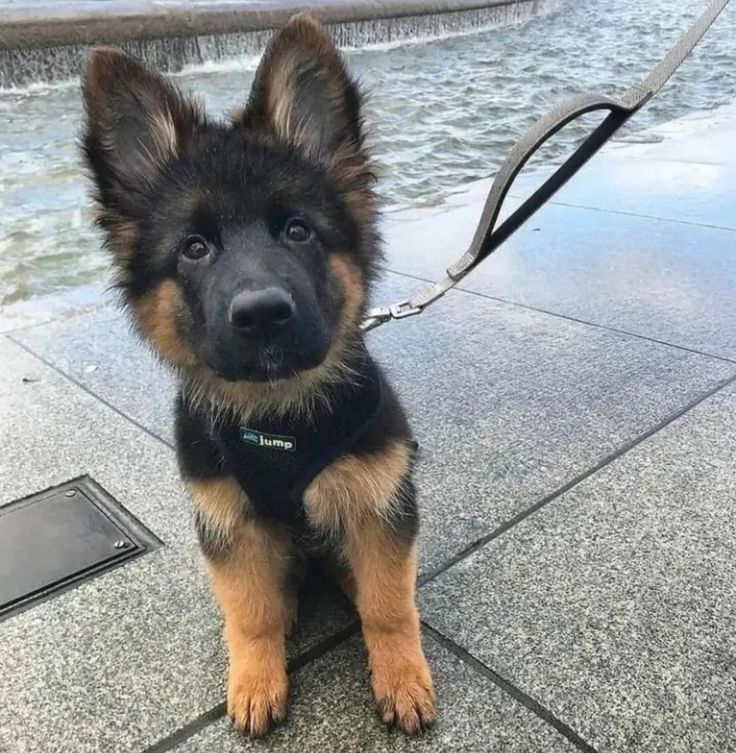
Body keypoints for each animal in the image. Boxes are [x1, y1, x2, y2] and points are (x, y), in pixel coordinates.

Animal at [80, 11, 434, 736]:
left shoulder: (379, 503)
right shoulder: (231, 523)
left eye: (297, 231)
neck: (279, 419)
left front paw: (400, 676)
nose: (263, 314)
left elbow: (389, 603)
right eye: (194, 248)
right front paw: (254, 681)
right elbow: (250, 612)